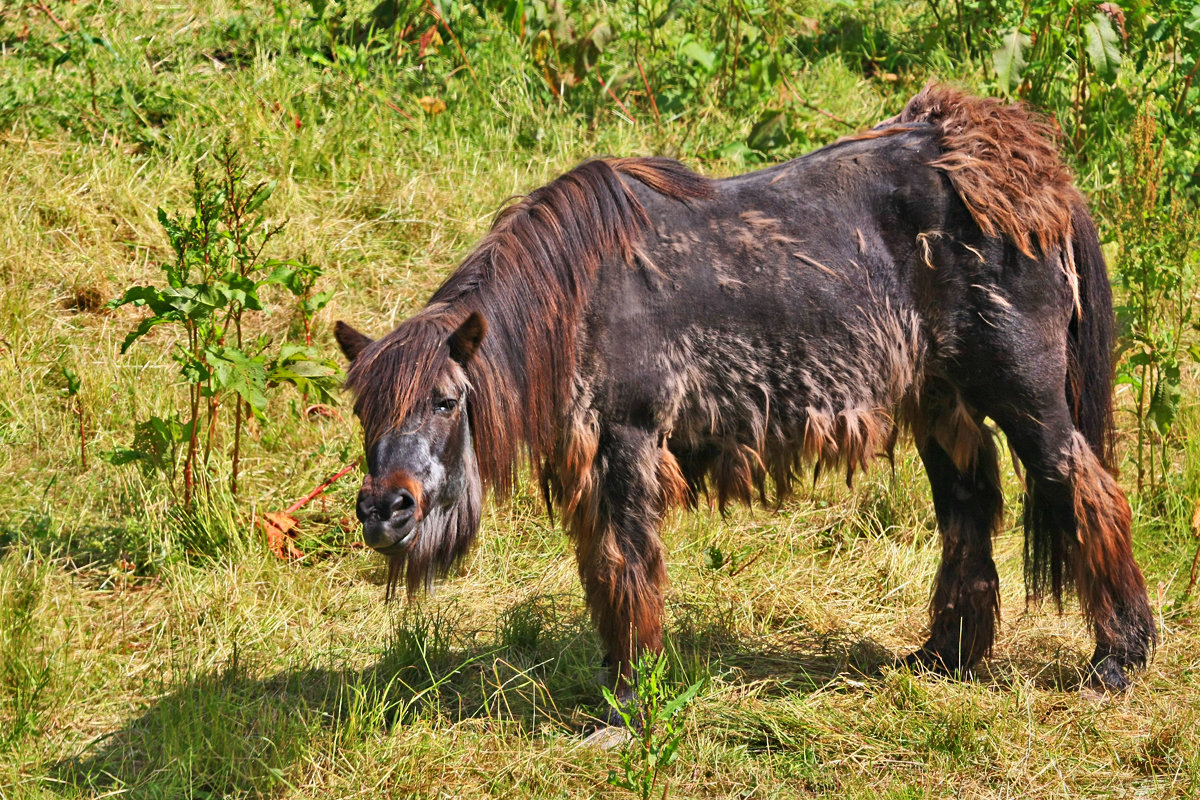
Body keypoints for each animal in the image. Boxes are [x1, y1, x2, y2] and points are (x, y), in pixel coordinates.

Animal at [336, 82, 1152, 705]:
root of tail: (1035, 176)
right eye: (363, 412)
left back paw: (1120, 657)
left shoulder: (630, 442)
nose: (384, 511)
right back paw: (945, 656)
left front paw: (629, 700)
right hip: (940, 401)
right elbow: (604, 569)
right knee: (967, 509)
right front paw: (616, 681)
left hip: (1026, 398)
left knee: (1083, 489)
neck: (576, 297)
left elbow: (629, 564)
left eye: (446, 402)